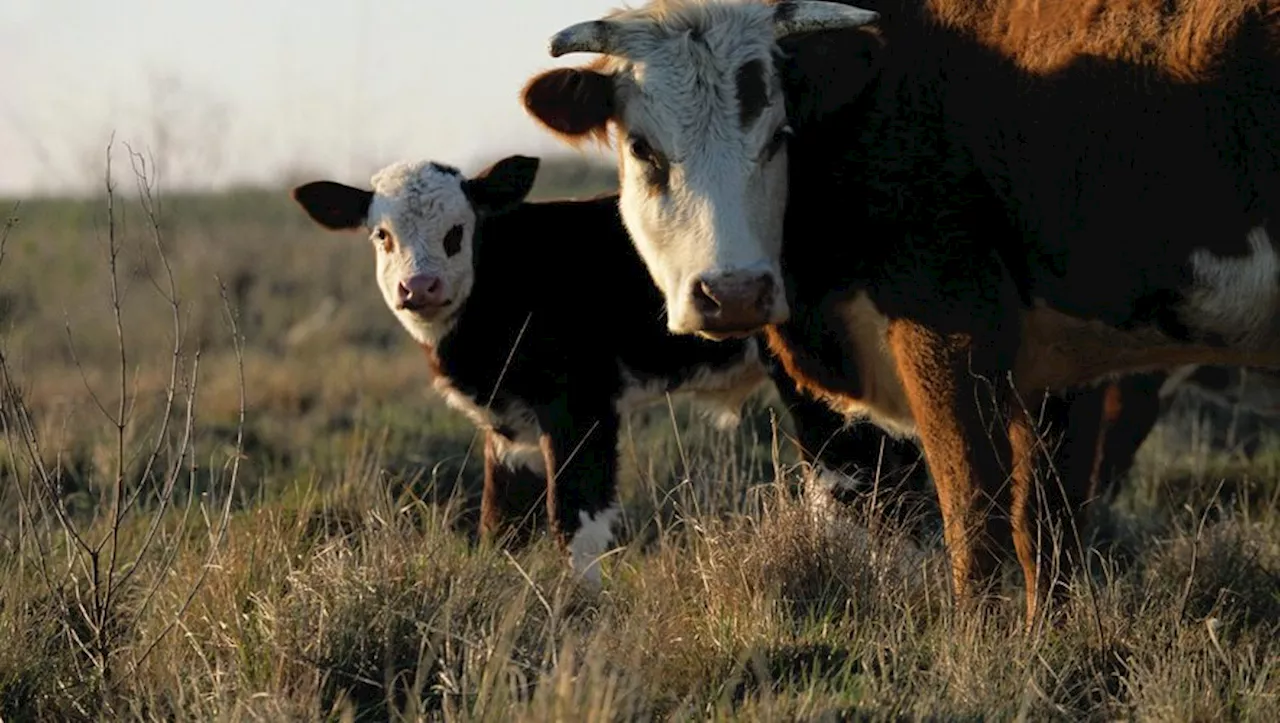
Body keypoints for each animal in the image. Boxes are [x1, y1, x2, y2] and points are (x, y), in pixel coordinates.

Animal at [293, 154, 768, 583]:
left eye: (456, 230)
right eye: (382, 235)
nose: (419, 287)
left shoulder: (579, 408)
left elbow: (573, 519)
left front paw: (581, 603)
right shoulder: (509, 425)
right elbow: (501, 523)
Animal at [517, 0, 1280, 619]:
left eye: (778, 136)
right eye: (642, 147)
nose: (733, 292)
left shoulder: (946, 325)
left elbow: (977, 515)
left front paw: (981, 655)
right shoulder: (1062, 360)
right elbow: (1049, 527)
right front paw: (1046, 644)